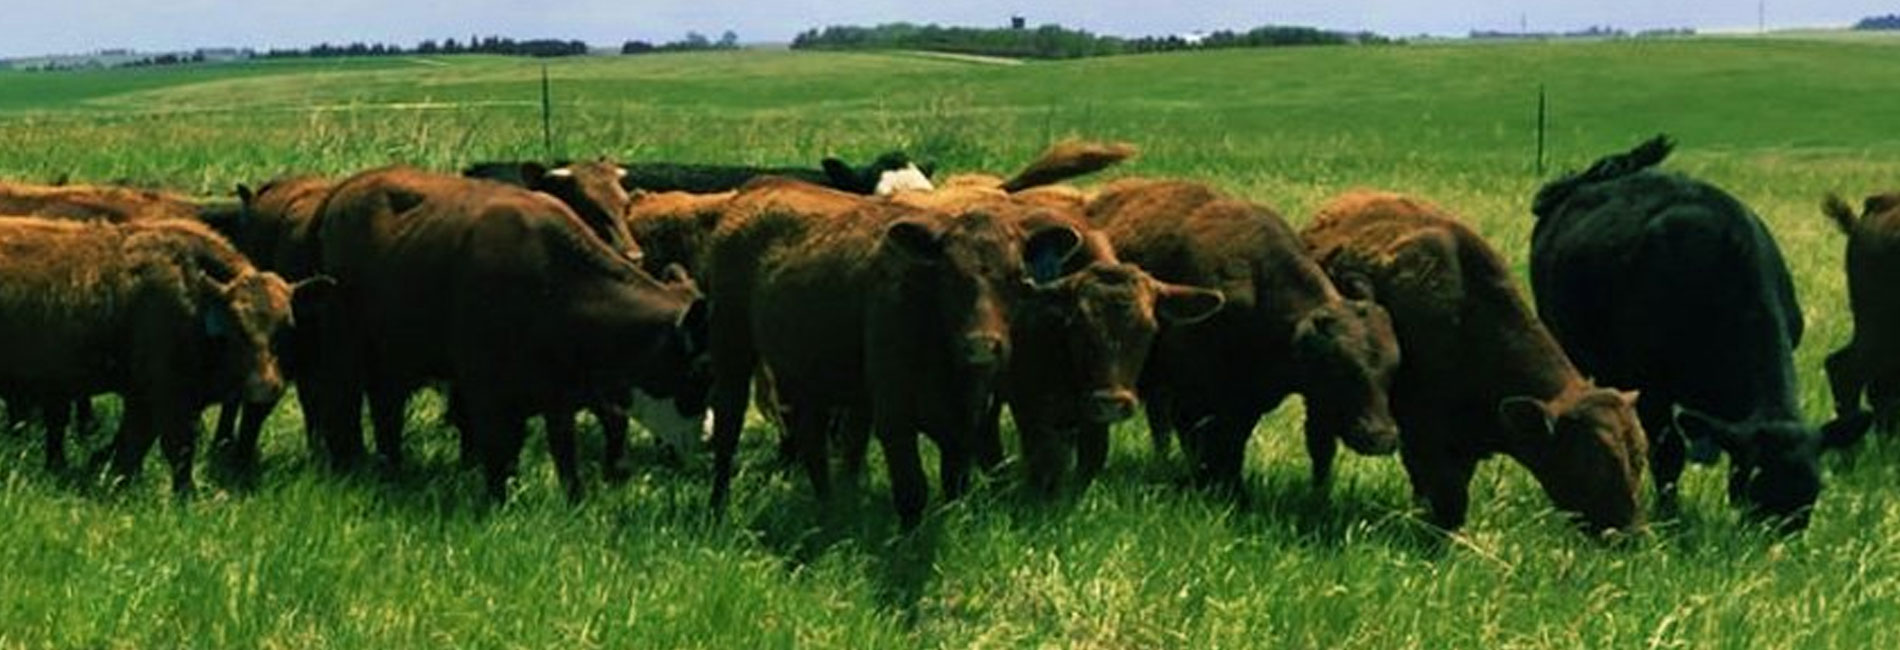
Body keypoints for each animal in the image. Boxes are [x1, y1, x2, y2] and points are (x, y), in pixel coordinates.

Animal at [0, 216, 314, 494]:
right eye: (236, 327)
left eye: (287, 327)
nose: (265, 386)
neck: (195, 294)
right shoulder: (167, 396)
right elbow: (176, 447)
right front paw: (187, 496)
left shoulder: (143, 398)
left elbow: (134, 444)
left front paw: (119, 483)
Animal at [309, 166, 709, 501]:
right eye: (698, 371)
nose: (704, 438)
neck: (554, 280)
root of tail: (343, 191)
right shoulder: (485, 390)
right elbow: (498, 453)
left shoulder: (558, 395)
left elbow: (564, 457)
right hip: (350, 351)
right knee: (345, 405)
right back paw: (354, 464)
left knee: (385, 408)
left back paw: (390, 465)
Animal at [1081, 179, 1401, 491]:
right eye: (1338, 367)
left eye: (1392, 368)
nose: (1380, 437)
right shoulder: (1191, 400)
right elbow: (1203, 447)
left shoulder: (1247, 400)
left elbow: (1232, 446)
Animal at [1303, 191, 1648, 534]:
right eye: (1595, 461)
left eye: (1640, 457)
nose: (1628, 532)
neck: (1467, 320)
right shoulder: (1426, 439)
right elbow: (1445, 497)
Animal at [1527, 135, 1826, 530]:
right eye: (1755, 485)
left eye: (1813, 492)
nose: (1778, 537)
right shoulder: (1652, 385)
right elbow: (1668, 453)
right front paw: (1670, 516)